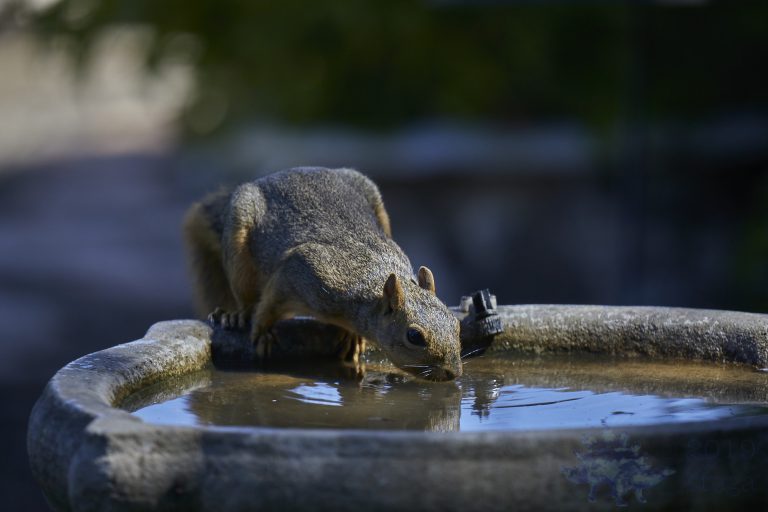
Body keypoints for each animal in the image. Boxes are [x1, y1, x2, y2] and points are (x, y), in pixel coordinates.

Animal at [183, 167, 462, 381]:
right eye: (414, 336)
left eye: (456, 323)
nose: (453, 373)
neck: (371, 283)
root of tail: (271, 177)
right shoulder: (302, 270)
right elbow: (270, 303)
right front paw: (262, 330)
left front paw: (354, 338)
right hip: (239, 235)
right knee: (246, 294)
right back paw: (238, 314)